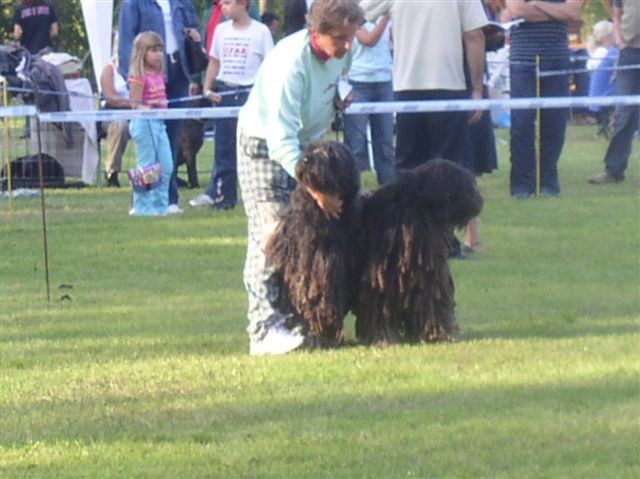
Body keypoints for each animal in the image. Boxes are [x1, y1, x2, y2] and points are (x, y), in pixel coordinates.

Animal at [264, 140, 362, 348]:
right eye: (310, 148)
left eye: (329, 152)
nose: (306, 160)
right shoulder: (313, 271)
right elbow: (315, 306)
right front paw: (321, 338)